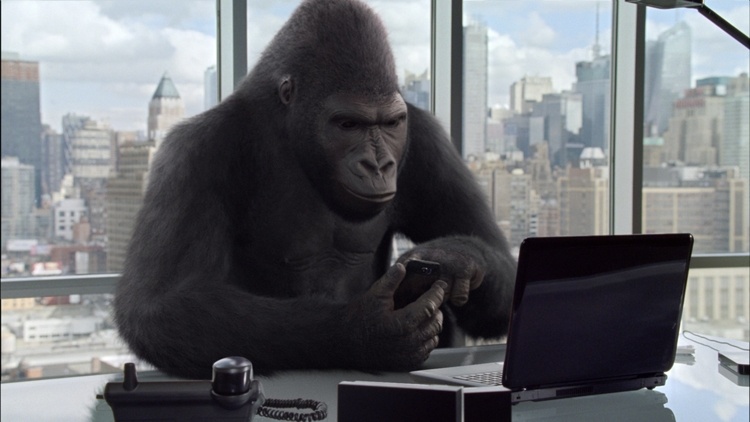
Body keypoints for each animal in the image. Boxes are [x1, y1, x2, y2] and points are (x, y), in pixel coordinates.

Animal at [114, 0, 516, 379]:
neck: (290, 134)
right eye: (348, 124)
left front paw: (456, 256)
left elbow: (503, 266)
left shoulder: (426, 140)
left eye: (391, 123)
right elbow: (162, 305)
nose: (379, 165)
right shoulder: (194, 152)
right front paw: (365, 332)